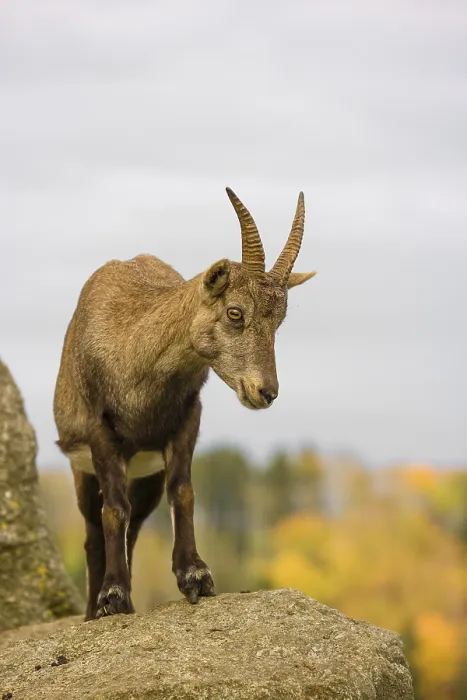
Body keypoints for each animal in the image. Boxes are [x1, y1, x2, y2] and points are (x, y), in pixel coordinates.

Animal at [53, 187, 316, 619]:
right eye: (235, 312)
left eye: (278, 321)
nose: (266, 391)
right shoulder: (100, 431)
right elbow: (114, 509)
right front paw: (113, 596)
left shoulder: (186, 419)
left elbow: (183, 492)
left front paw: (194, 576)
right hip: (82, 470)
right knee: (95, 529)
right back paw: (95, 609)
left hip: (145, 472)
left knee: (135, 527)